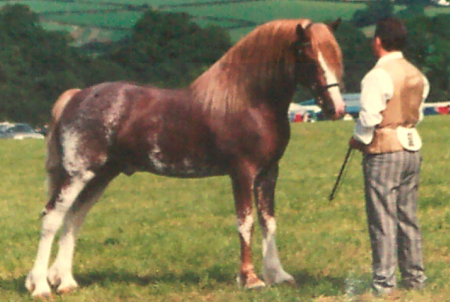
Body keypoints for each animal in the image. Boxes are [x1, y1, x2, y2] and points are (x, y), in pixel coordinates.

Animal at [26, 18, 346, 298]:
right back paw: (41, 286)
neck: (248, 101)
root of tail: (77, 96)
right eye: (309, 57)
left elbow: (269, 222)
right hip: (76, 175)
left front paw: (278, 275)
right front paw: (250, 279)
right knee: (52, 217)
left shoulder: (269, 173)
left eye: (335, 57)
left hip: (99, 176)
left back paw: (66, 282)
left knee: (74, 219)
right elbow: (246, 223)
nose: (337, 109)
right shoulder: (242, 173)